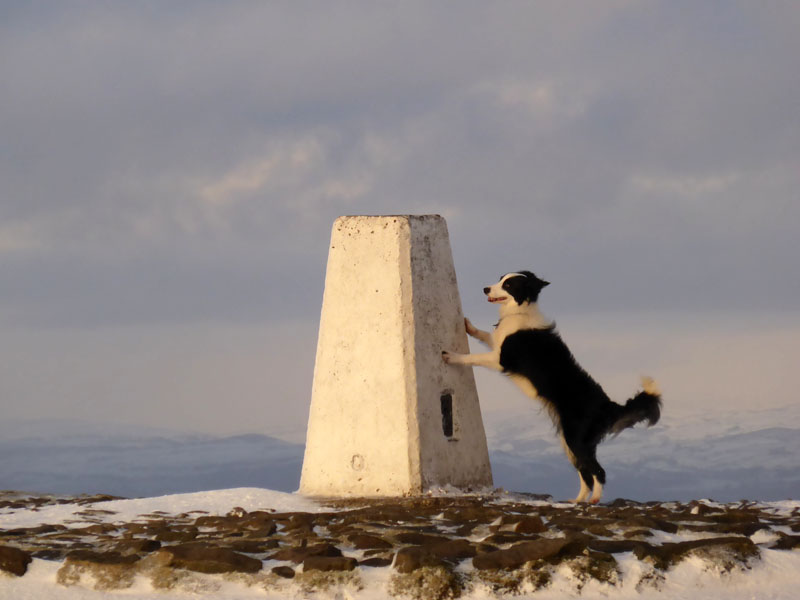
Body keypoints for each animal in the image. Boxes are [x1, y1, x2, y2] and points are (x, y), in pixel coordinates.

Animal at [440, 270, 660, 502]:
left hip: (575, 439)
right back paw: (577, 501)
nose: (485, 289)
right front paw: (469, 327)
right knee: (585, 473)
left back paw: (594, 500)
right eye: (500, 279)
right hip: (570, 442)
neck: (520, 311)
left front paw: (452, 356)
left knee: (598, 471)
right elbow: (486, 335)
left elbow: (473, 357)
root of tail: (607, 405)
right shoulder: (498, 345)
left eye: (508, 284)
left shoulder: (501, 359)